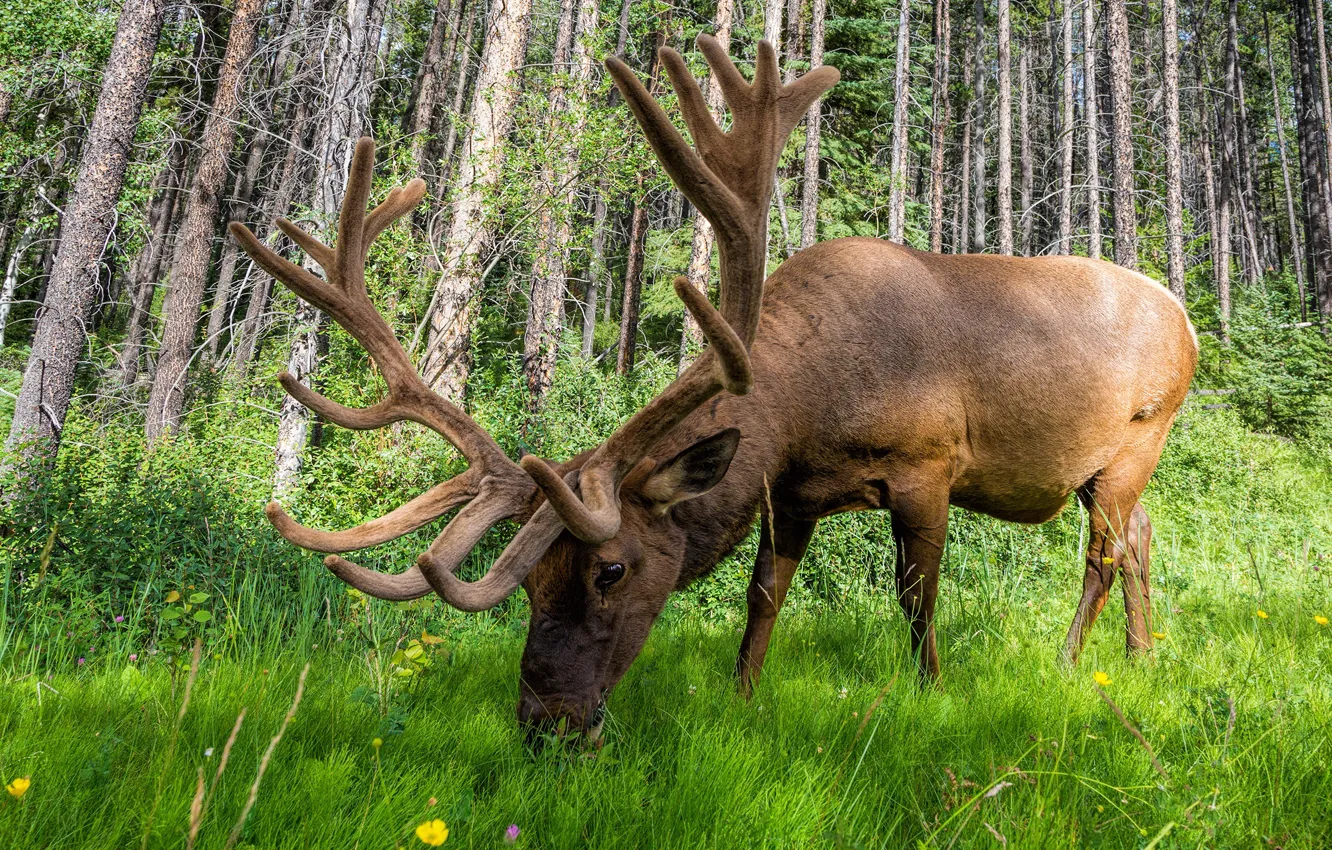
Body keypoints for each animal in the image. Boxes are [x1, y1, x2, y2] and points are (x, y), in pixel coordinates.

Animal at [229, 37, 1197, 739]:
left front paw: (931, 694)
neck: (809, 406)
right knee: (1142, 537)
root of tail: (1189, 322)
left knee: (1105, 553)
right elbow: (761, 599)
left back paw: (1074, 662)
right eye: (532, 579)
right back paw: (1144, 656)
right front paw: (740, 699)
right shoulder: (793, 491)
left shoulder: (927, 465)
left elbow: (916, 598)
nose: (547, 724)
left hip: (1139, 437)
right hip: (1108, 470)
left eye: (612, 568)